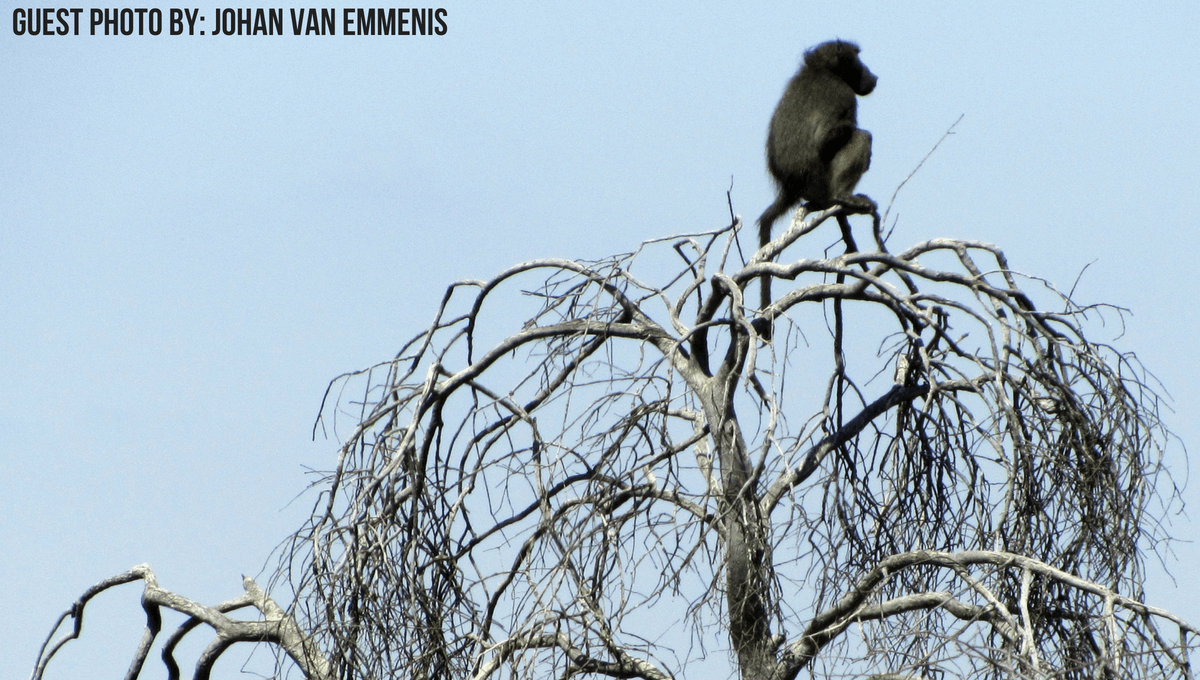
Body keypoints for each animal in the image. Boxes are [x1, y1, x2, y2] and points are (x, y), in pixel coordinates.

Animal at [757, 40, 878, 314]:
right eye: (859, 59)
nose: (872, 75)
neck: (821, 70)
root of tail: (790, 187)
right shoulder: (842, 94)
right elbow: (828, 138)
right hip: (821, 184)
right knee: (860, 136)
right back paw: (844, 197)